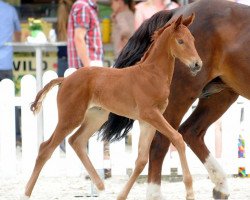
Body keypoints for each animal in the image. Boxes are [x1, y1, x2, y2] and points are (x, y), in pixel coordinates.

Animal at [22, 14, 201, 199]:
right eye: (180, 41)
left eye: (193, 40)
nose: (197, 64)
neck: (151, 74)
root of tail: (64, 79)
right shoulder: (150, 114)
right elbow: (177, 138)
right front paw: (189, 191)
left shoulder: (148, 121)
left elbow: (142, 159)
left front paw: (121, 195)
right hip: (70, 118)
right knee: (46, 148)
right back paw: (26, 193)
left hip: (96, 117)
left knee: (76, 141)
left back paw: (101, 187)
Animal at [98, 0, 250, 199]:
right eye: (181, 41)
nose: (196, 63)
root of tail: (178, 12)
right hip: (180, 95)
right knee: (161, 141)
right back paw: (155, 194)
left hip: (220, 95)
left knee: (191, 132)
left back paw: (220, 185)